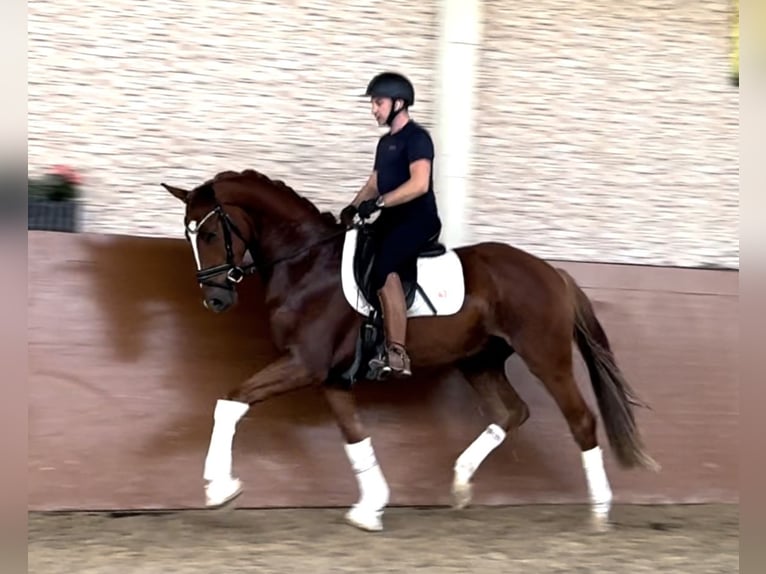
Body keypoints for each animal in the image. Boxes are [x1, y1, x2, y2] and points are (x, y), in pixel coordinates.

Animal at [160, 169, 660, 532]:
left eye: (209, 234)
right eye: (187, 235)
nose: (215, 300)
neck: (306, 263)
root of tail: (552, 272)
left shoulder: (305, 363)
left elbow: (230, 401)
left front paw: (218, 488)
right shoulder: (331, 377)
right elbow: (355, 437)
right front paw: (371, 508)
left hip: (545, 357)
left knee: (580, 420)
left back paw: (599, 511)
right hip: (479, 361)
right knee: (512, 413)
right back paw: (460, 482)